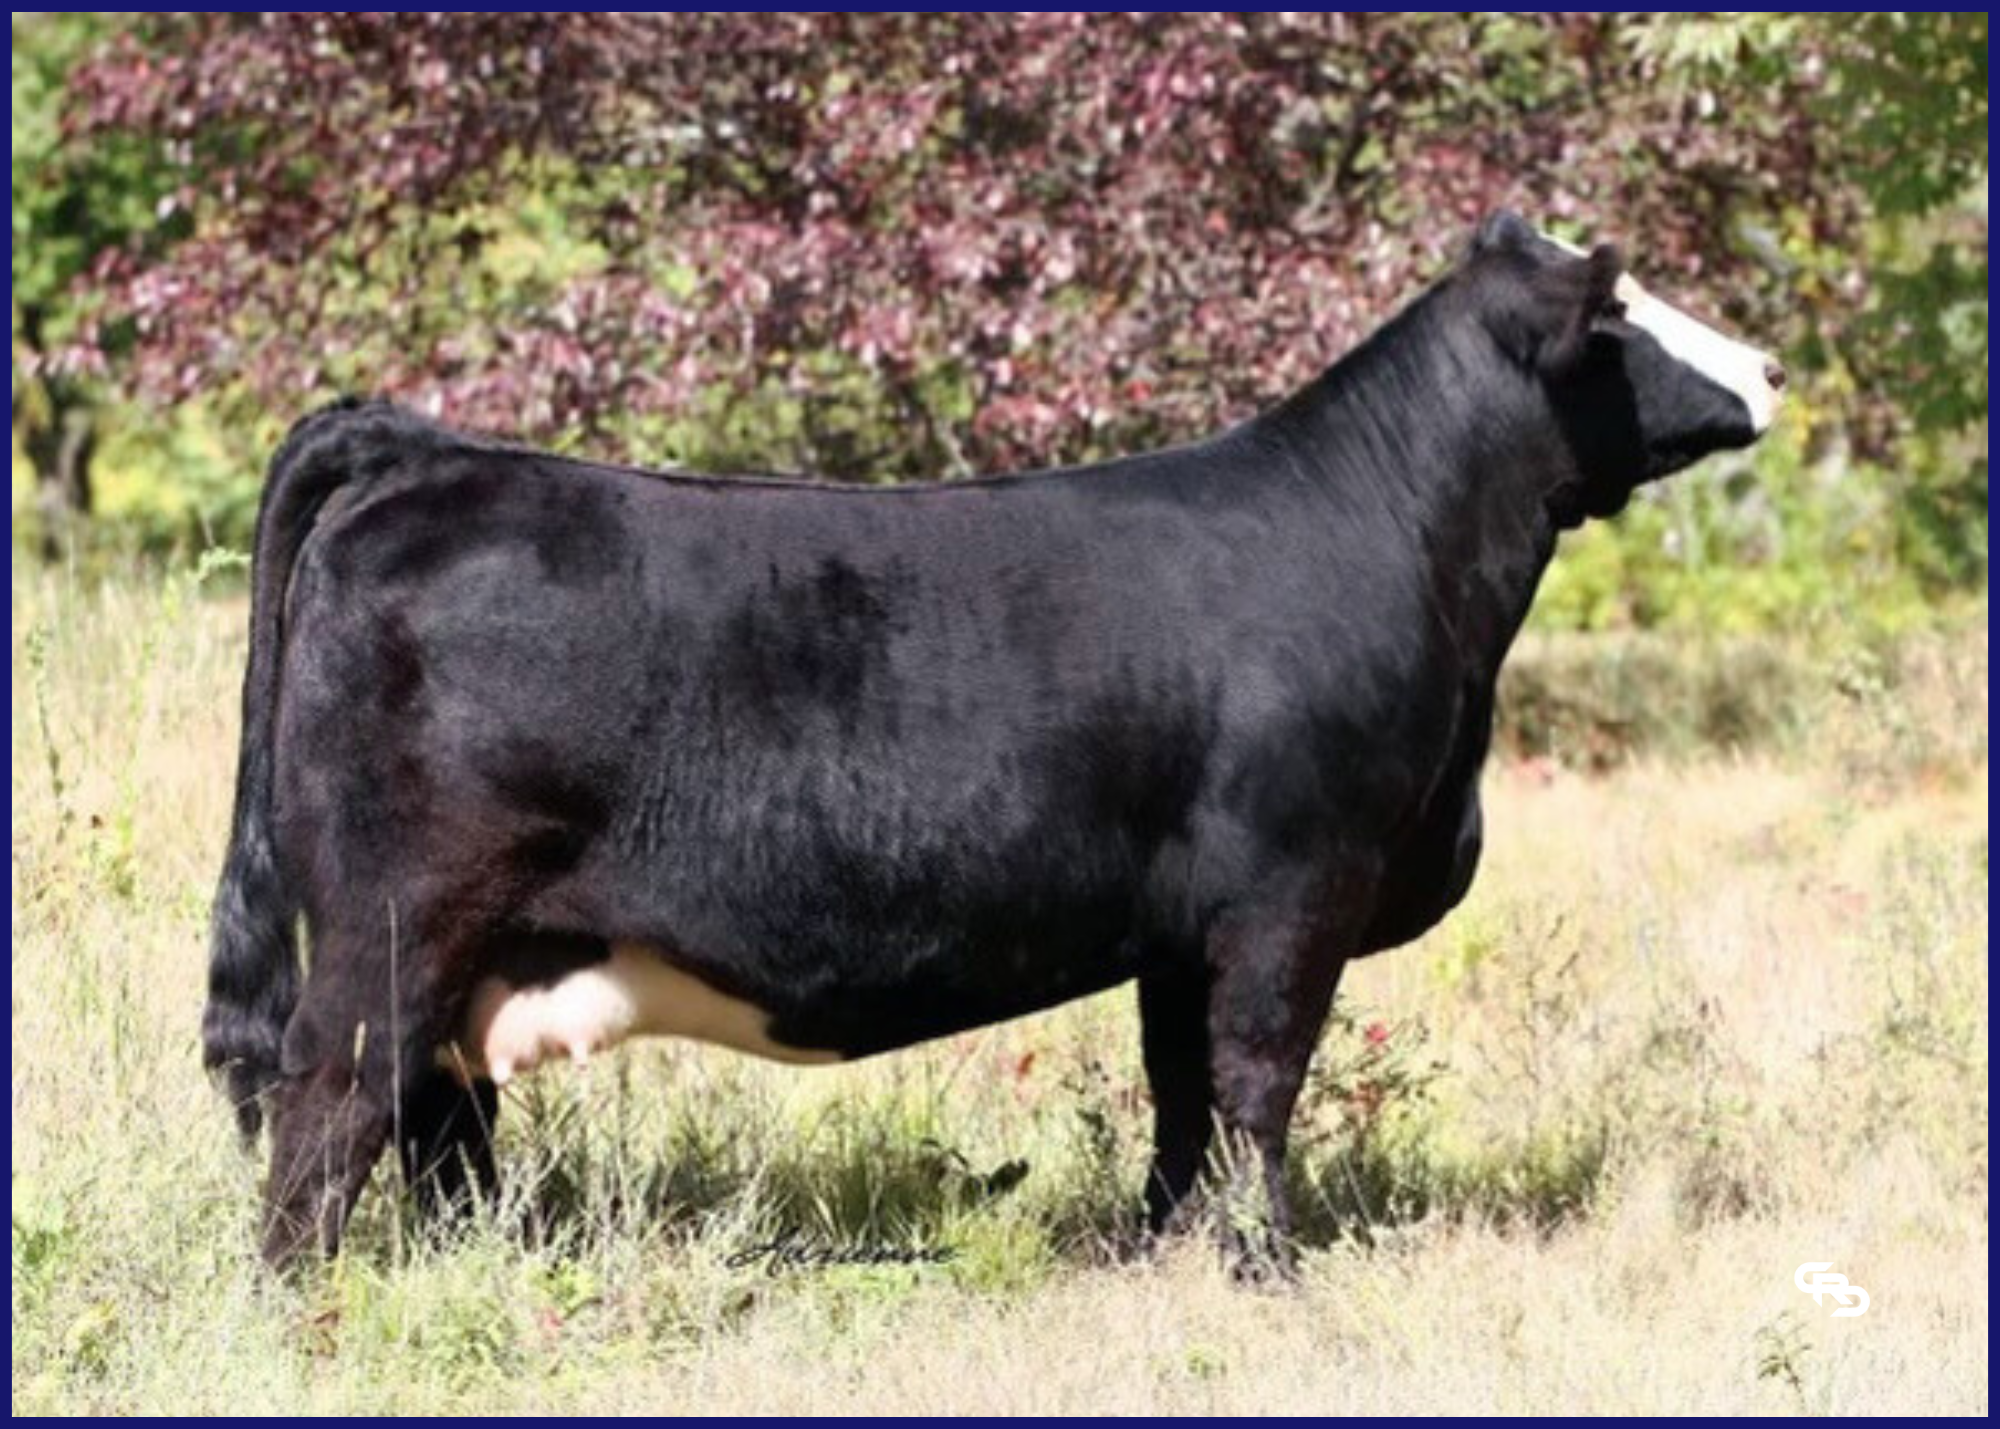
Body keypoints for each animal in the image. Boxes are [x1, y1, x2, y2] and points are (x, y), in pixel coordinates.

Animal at [202, 211, 1783, 1270]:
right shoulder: (1294, 887)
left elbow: (1180, 1093)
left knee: (433, 1117)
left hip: (468, 947)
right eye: (1620, 310)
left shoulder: (1182, 922)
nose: (1767, 364)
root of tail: (432, 451)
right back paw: (311, 1303)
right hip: (395, 920)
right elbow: (1259, 1080)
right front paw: (1268, 1265)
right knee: (330, 1099)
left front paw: (1162, 1252)